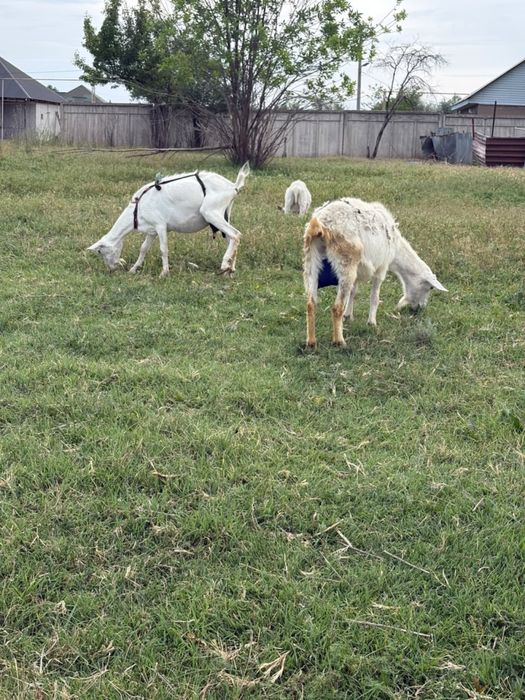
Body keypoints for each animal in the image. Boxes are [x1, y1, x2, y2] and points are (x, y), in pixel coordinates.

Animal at [87, 162, 250, 277]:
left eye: (100, 251)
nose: (111, 269)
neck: (137, 209)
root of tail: (233, 187)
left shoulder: (160, 225)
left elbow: (163, 249)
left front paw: (164, 273)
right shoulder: (151, 230)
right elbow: (143, 248)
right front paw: (133, 269)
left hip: (210, 212)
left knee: (236, 234)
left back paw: (225, 265)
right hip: (224, 213)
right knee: (231, 238)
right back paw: (230, 269)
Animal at [303, 197, 447, 347]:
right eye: (430, 287)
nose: (420, 308)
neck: (396, 251)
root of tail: (320, 223)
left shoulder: (358, 271)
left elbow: (353, 293)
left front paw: (348, 316)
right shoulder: (381, 269)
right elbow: (374, 297)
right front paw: (372, 322)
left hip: (311, 261)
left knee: (310, 304)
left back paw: (311, 342)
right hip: (346, 262)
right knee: (336, 308)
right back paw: (339, 341)